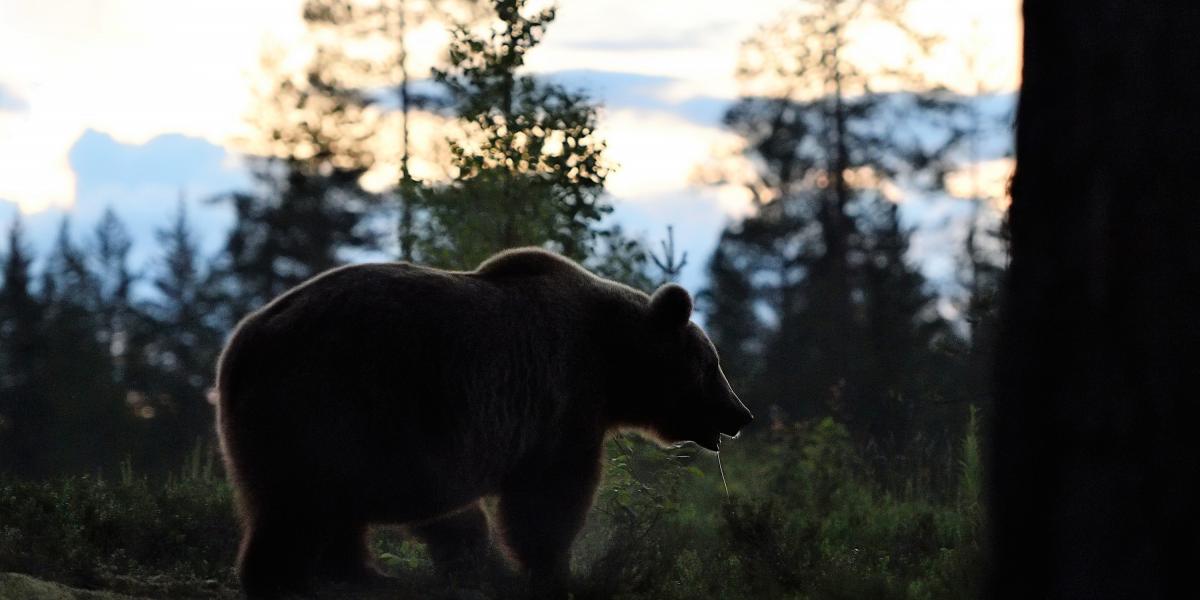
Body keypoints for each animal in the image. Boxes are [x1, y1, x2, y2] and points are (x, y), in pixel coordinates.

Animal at [213, 246, 748, 597]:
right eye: (711, 364)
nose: (741, 413)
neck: (612, 365)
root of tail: (242, 343)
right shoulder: (562, 406)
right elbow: (549, 500)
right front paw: (554, 572)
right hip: (330, 404)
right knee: (297, 508)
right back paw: (283, 577)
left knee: (325, 511)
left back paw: (365, 575)